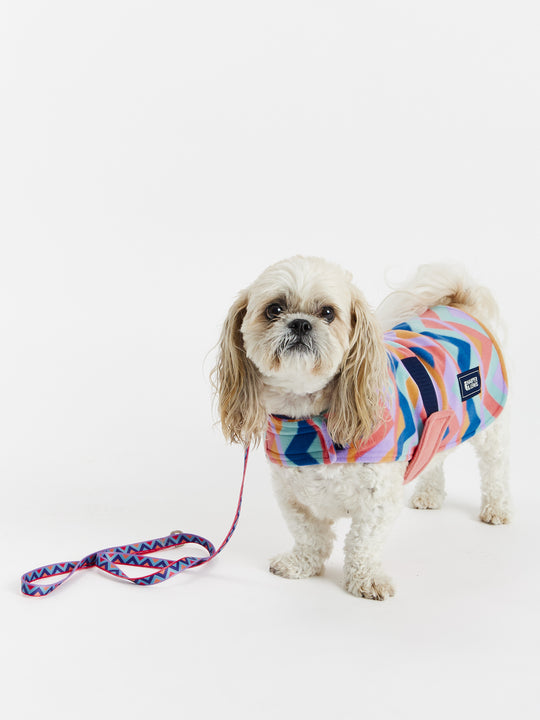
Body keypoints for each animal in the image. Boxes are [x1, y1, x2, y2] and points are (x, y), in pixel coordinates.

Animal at [212, 256, 510, 600]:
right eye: (274, 309)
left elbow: (362, 543)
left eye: (328, 313)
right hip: (443, 424)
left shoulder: (377, 498)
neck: (309, 424)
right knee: (435, 457)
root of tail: (459, 303)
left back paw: (497, 508)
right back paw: (429, 495)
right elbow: (308, 534)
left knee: (495, 468)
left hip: (489, 427)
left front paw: (366, 579)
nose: (300, 324)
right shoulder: (291, 494)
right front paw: (302, 563)